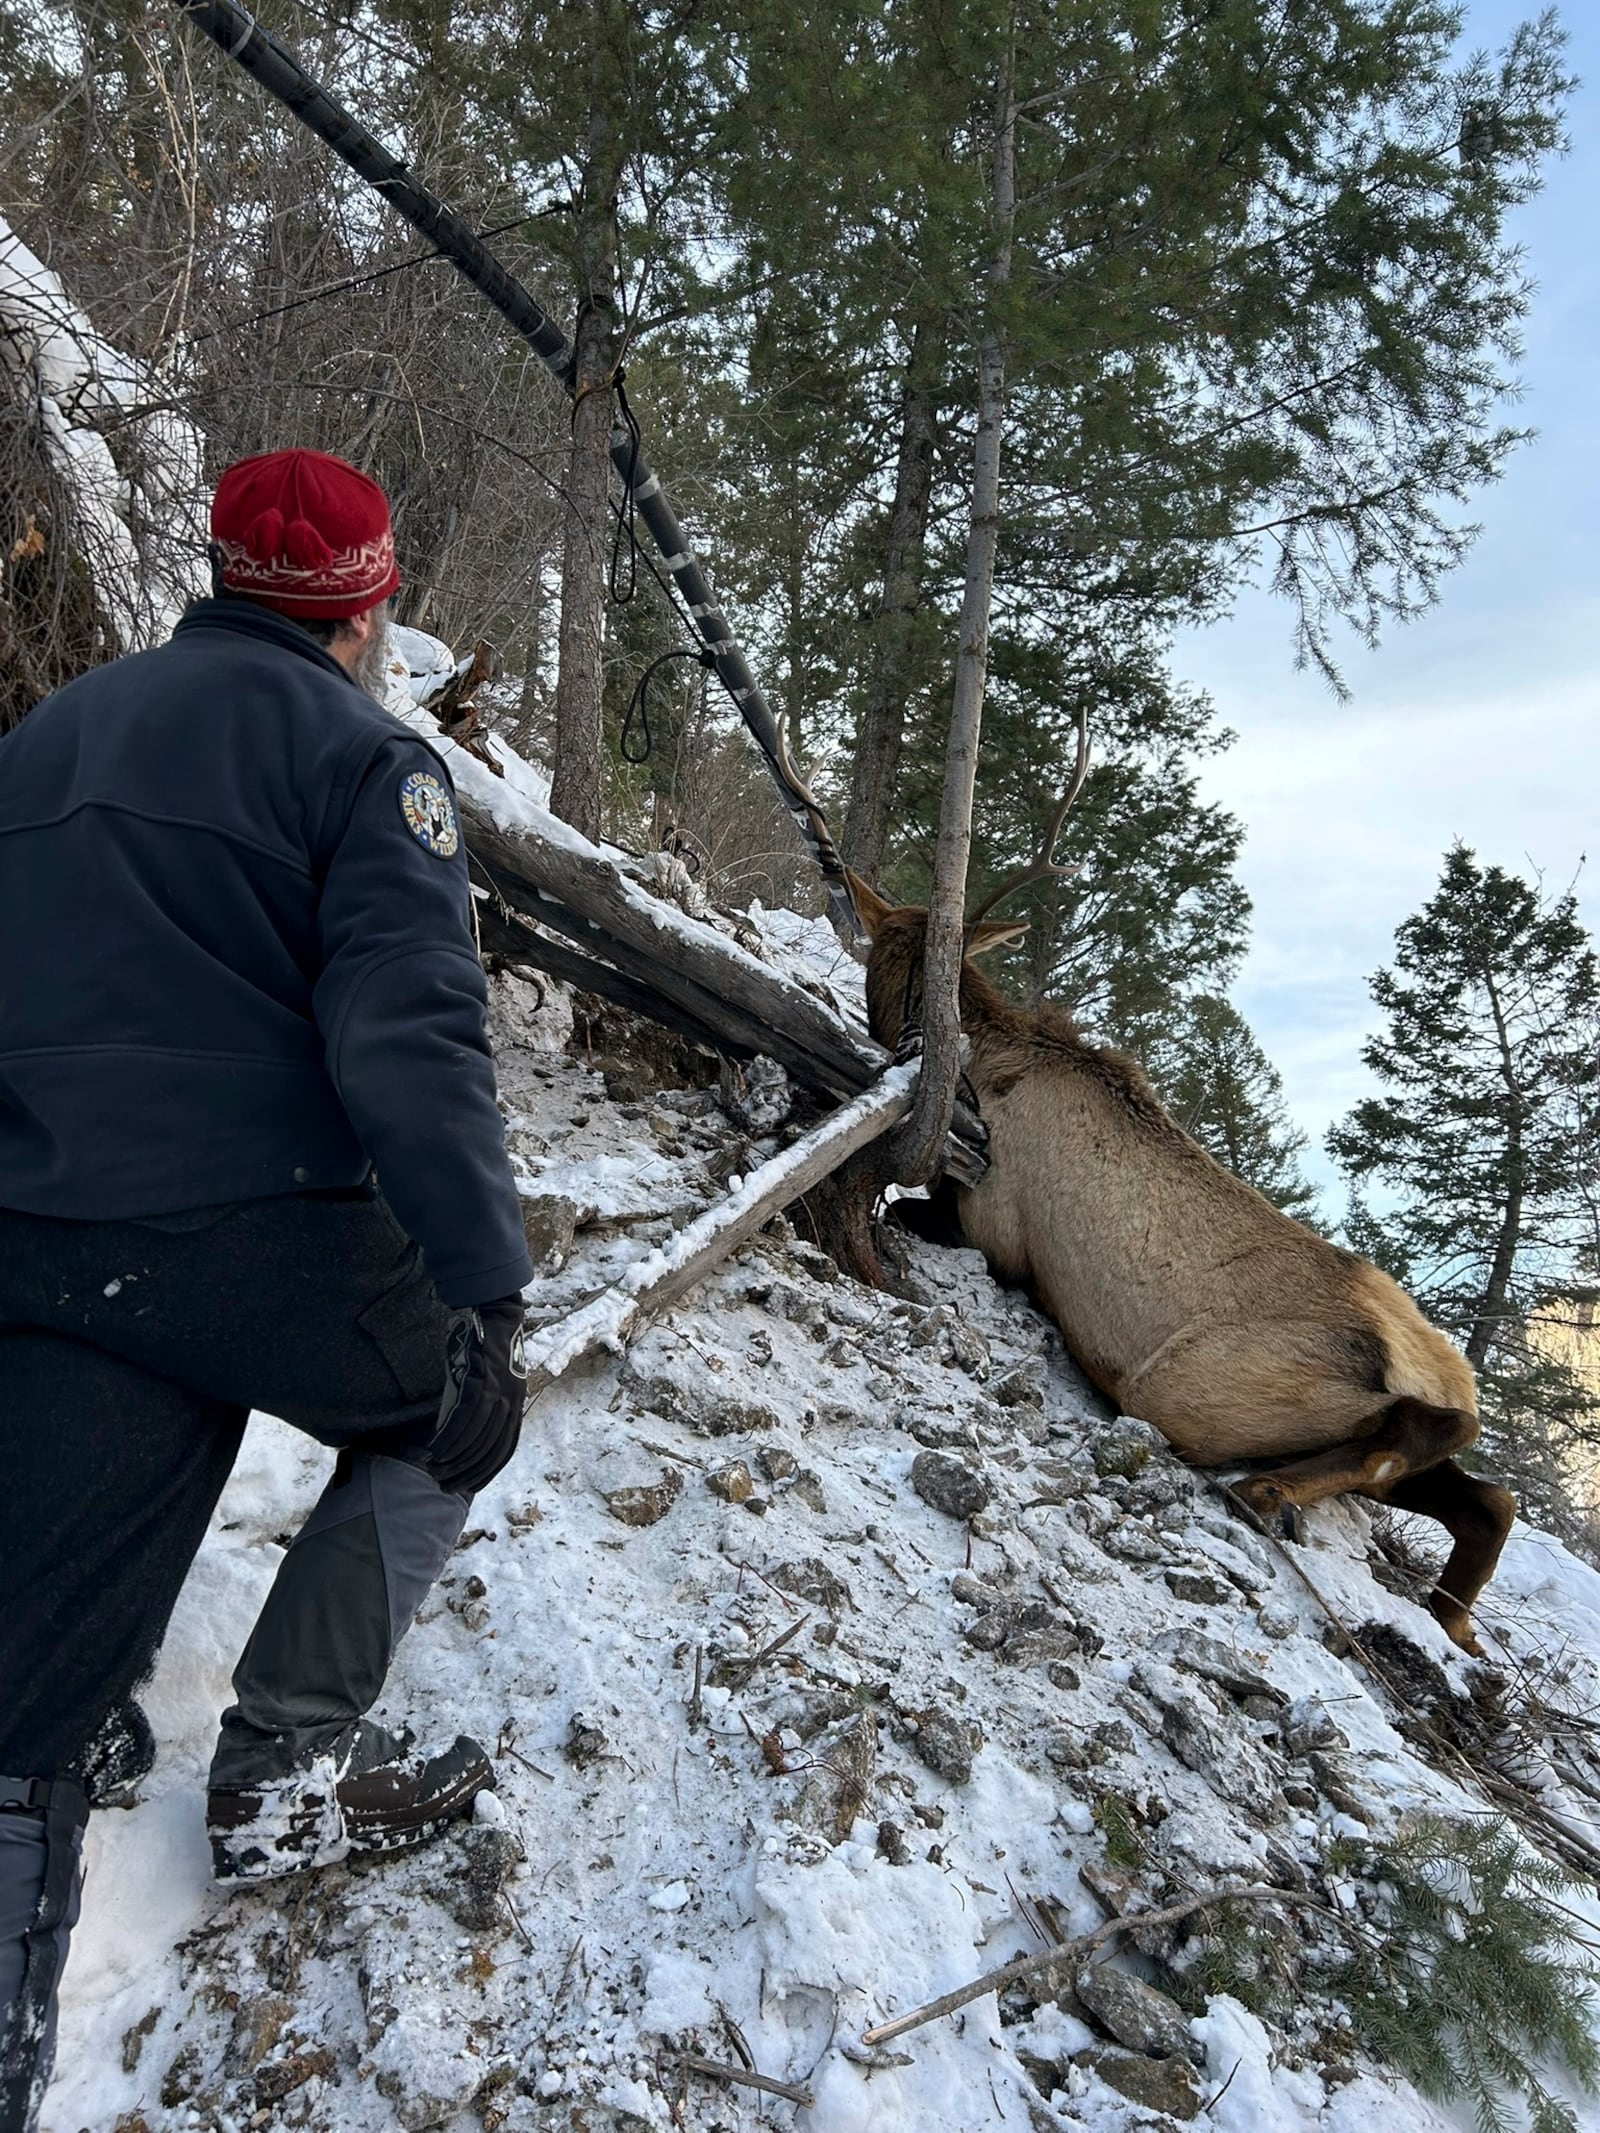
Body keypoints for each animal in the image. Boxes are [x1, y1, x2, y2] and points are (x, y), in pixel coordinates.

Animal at [853, 767, 1518, 1646]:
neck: (980, 1053)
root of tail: (1449, 1375)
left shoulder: (993, 1229)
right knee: (1489, 1497)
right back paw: (1452, 1618)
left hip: (1189, 1385)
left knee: (1423, 1445)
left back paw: (1268, 1495)